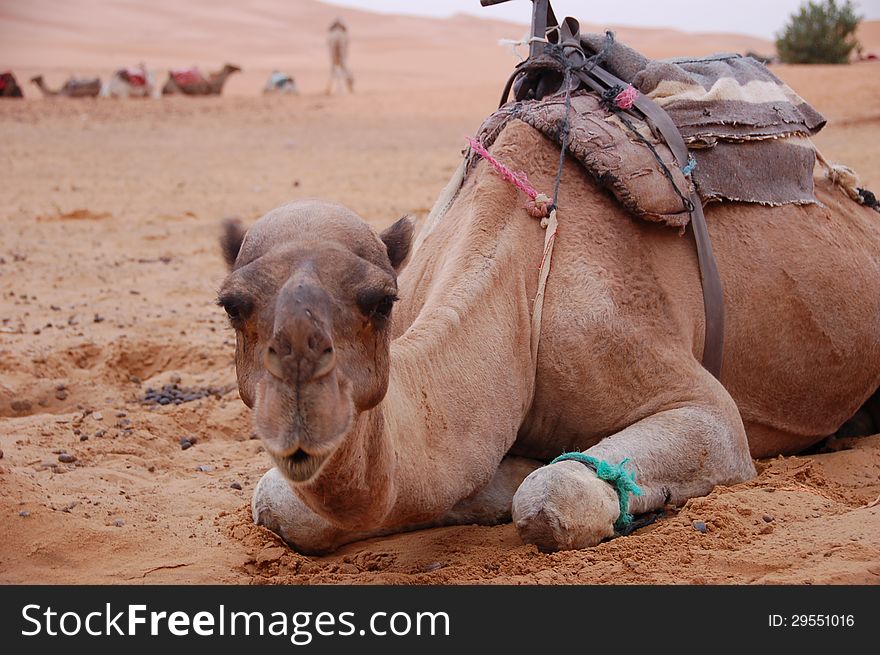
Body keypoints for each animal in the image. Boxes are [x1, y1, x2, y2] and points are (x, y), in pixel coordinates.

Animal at [218, 114, 880, 552]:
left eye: (380, 301)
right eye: (232, 305)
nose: (300, 386)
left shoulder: (690, 398)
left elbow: (551, 491)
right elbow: (277, 502)